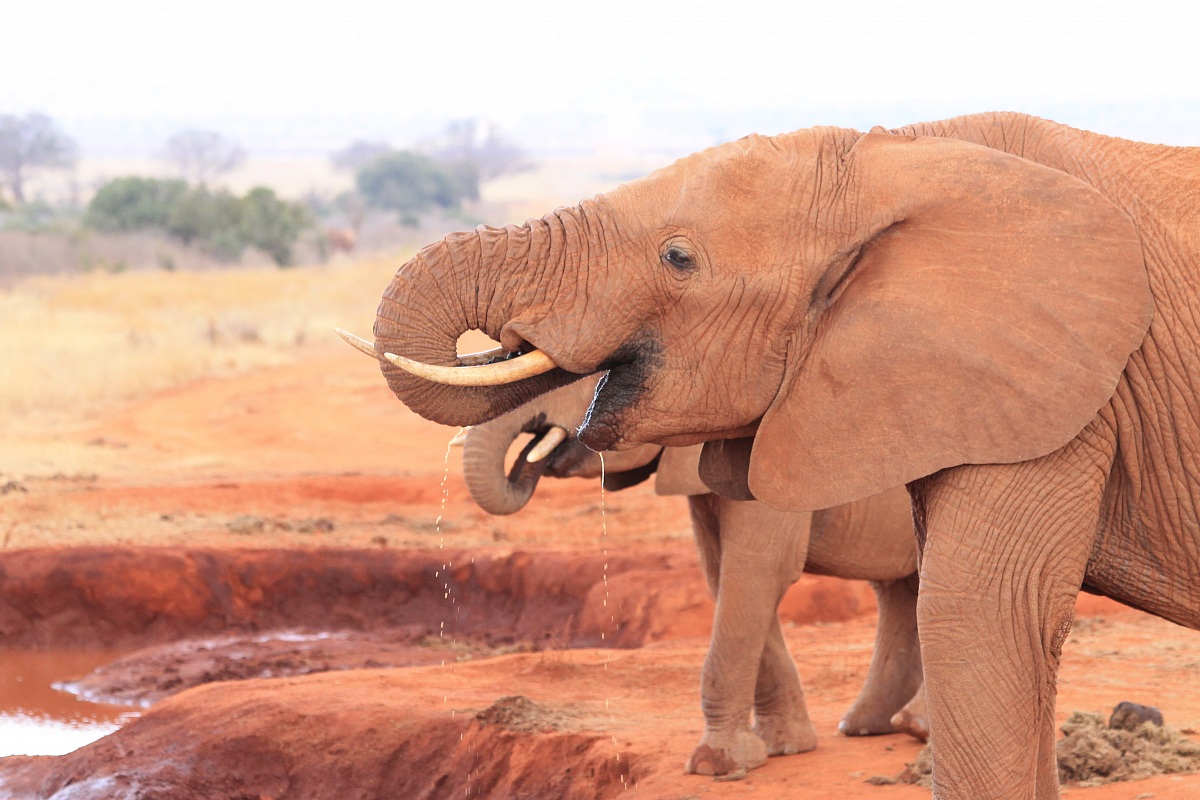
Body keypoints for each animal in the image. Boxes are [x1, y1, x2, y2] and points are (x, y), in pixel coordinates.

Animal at [457, 376, 926, 775]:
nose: (525, 465)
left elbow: (757, 571)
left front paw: (715, 766)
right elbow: (724, 574)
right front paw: (784, 748)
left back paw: (914, 728)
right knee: (902, 590)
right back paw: (868, 726)